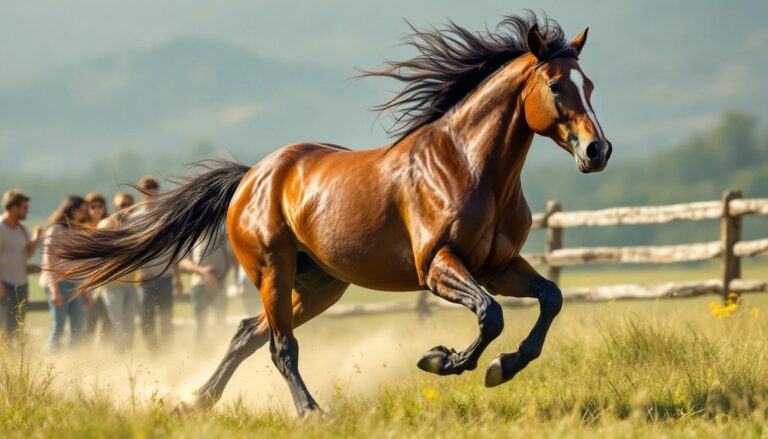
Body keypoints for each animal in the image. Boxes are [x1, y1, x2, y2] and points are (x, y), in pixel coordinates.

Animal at [52, 13, 611, 416]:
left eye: (590, 85)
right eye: (556, 86)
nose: (597, 151)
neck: (468, 165)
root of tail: (252, 176)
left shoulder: (498, 265)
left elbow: (551, 297)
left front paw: (502, 366)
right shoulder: (437, 266)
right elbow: (491, 314)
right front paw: (442, 360)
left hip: (320, 284)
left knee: (247, 333)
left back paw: (195, 401)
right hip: (273, 271)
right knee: (280, 345)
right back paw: (310, 412)